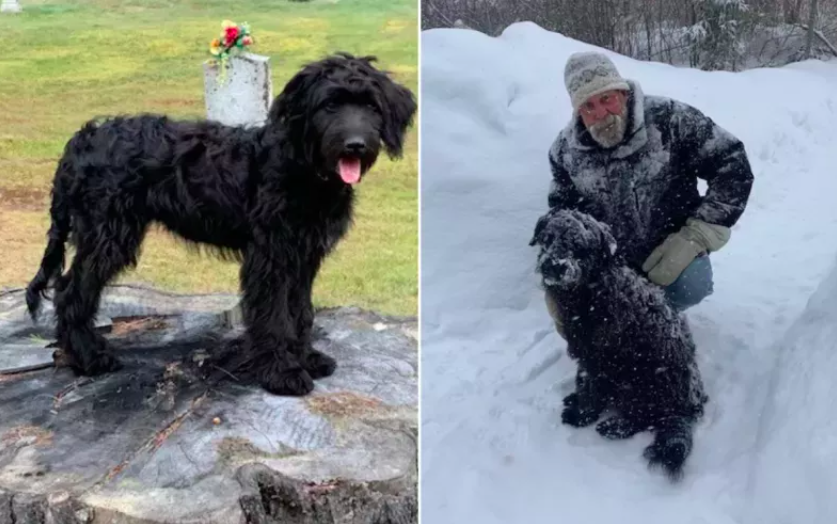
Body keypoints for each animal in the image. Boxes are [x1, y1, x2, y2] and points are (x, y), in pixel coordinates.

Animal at [24, 53, 416, 398]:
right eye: (330, 105)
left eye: (372, 107)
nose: (356, 145)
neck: (302, 167)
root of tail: (81, 140)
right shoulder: (270, 257)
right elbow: (275, 315)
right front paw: (283, 373)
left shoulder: (303, 256)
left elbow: (301, 311)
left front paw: (306, 358)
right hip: (108, 234)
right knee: (70, 291)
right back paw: (90, 357)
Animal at [528, 208, 704, 478]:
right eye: (548, 238)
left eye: (578, 245)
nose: (552, 266)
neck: (591, 291)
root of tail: (684, 409)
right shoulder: (585, 355)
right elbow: (583, 380)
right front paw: (577, 399)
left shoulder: (600, 356)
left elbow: (591, 387)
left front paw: (581, 414)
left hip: (642, 379)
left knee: (644, 416)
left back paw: (617, 426)